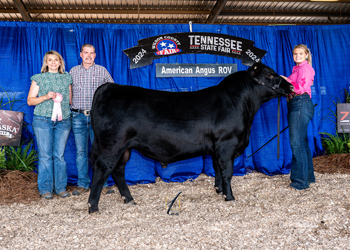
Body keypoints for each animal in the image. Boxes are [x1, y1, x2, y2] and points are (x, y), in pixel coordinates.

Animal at [87, 62, 292, 213]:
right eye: (269, 75)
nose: (290, 85)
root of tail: (109, 87)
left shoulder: (216, 148)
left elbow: (217, 170)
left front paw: (219, 191)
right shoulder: (227, 144)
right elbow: (227, 172)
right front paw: (230, 197)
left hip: (124, 148)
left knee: (118, 171)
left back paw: (129, 200)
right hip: (111, 145)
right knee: (102, 170)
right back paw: (93, 207)